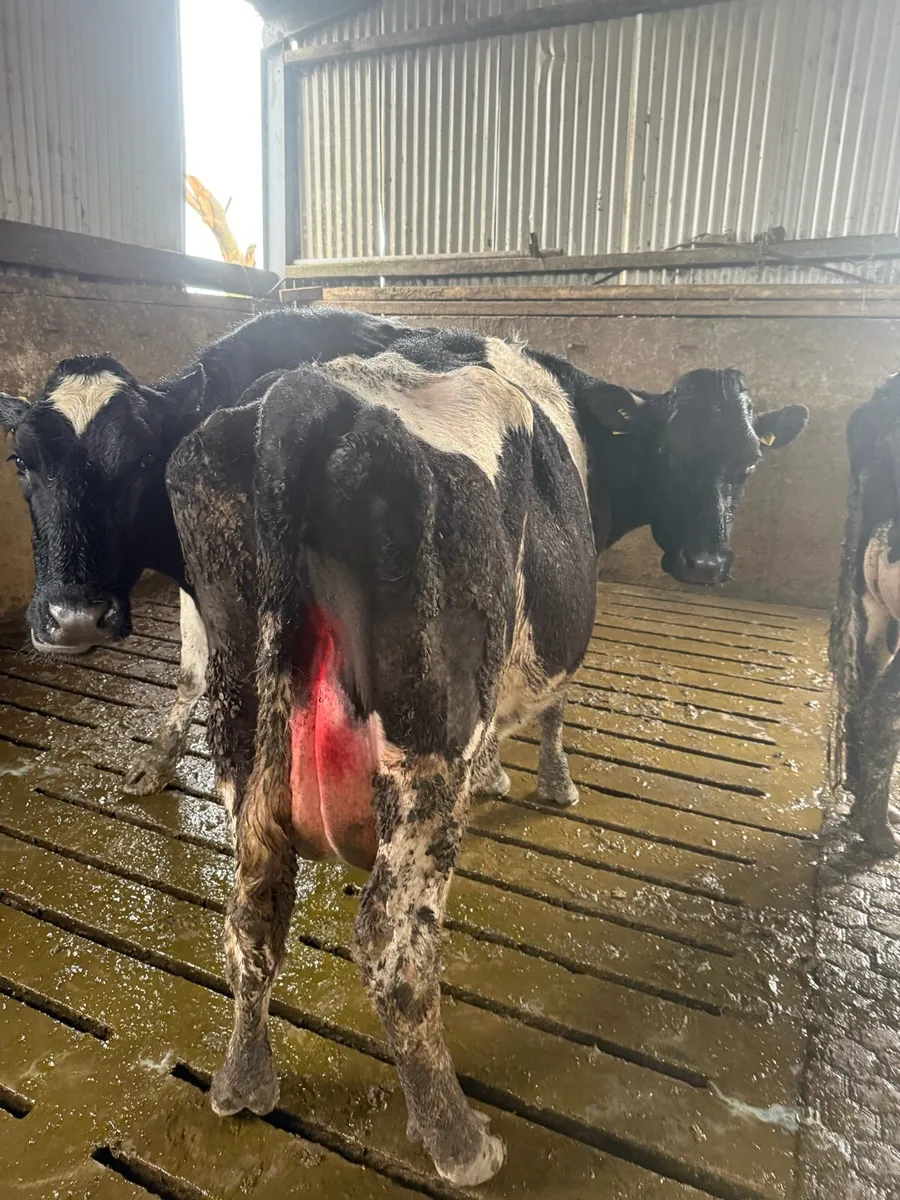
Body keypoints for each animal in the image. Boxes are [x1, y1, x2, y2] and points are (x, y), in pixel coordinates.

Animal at [163, 337, 807, 1186]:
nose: (707, 562)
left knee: (251, 919)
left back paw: (243, 1081)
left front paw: (502, 773)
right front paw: (552, 785)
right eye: (675, 451)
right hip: (427, 750)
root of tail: (303, 400)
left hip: (240, 721)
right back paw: (458, 1140)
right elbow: (556, 704)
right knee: (392, 946)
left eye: (747, 461)